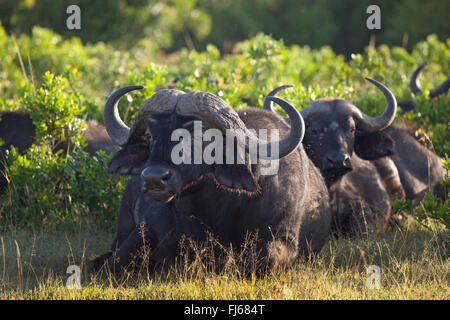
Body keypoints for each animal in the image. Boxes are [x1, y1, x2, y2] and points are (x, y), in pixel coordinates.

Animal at [89, 85, 332, 276]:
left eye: (201, 137)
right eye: (149, 135)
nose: (154, 178)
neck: (220, 206)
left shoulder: (284, 239)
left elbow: (264, 255)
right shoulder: (145, 229)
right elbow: (112, 263)